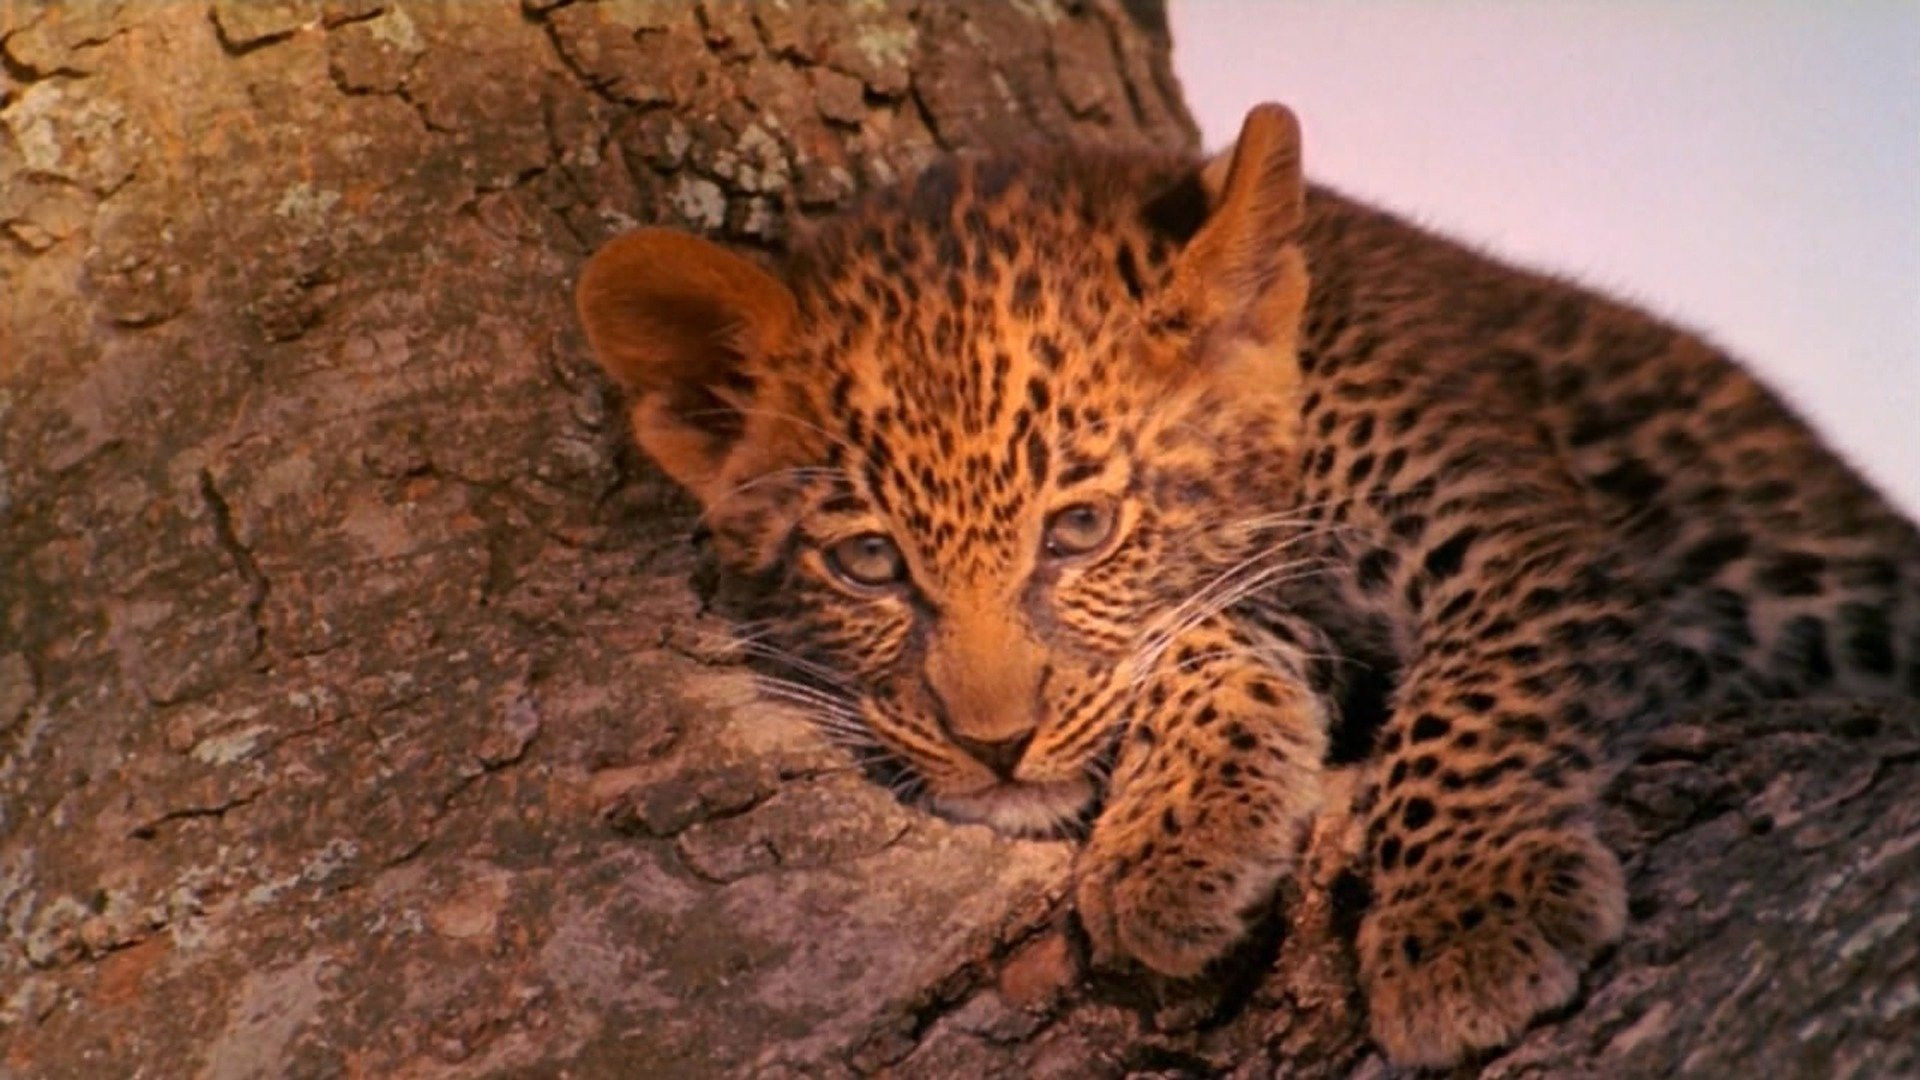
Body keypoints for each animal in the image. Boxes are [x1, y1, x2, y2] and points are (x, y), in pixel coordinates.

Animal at [574, 103, 1920, 1067]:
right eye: (868, 563)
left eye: (1079, 531)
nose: (994, 747)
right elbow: (1204, 640)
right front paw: (1182, 842)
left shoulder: (1520, 543)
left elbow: (1470, 709)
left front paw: (1467, 921)